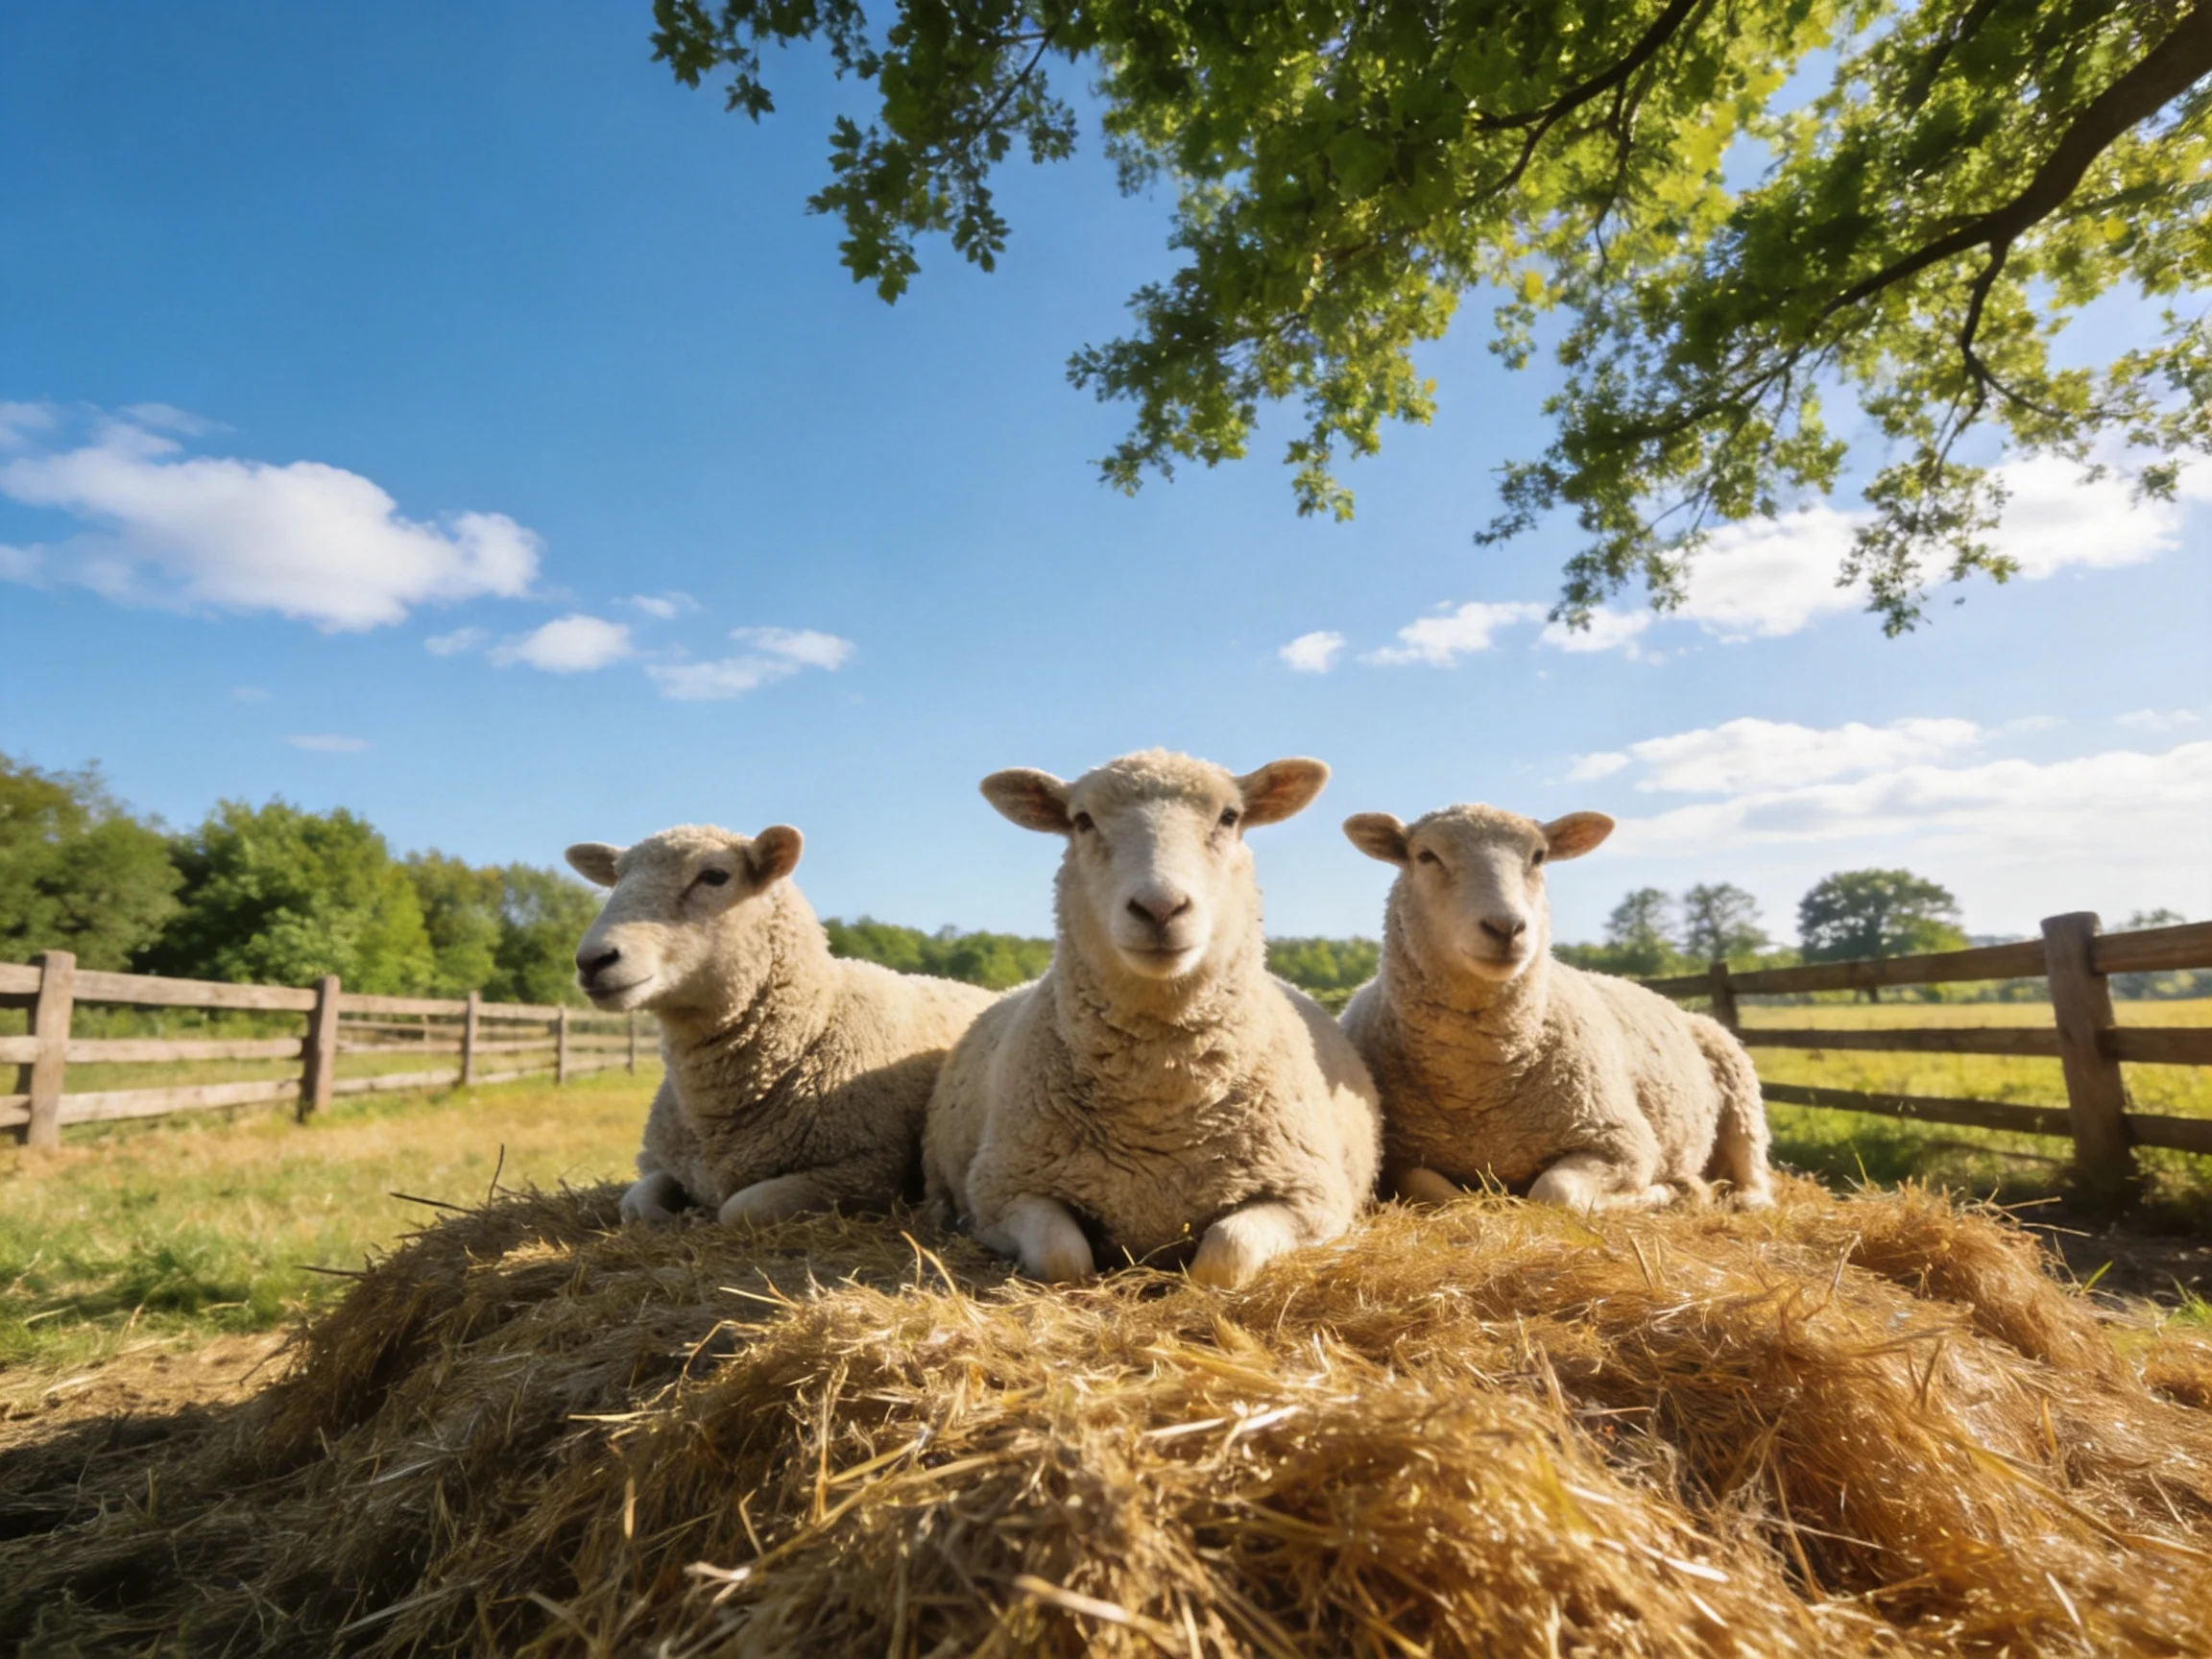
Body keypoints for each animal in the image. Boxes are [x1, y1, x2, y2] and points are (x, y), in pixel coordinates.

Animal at [566, 824, 998, 1227]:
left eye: (715, 875)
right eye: (617, 878)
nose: (591, 960)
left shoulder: (861, 1174)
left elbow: (740, 1209)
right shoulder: (660, 1161)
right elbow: (637, 1206)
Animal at [923, 750, 1383, 1290]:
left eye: (1230, 817)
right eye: (1082, 820)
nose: (1160, 907)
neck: (1159, 1100)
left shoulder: (1310, 1195)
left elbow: (1225, 1254)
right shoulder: (1001, 1191)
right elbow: (1064, 1257)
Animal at [1338, 803, 1773, 1213]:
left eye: (1539, 856)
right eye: (1426, 855)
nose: (1507, 928)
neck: (1479, 1090)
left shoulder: (1622, 1141)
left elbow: (1555, 1190)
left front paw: (1663, 1192)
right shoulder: (1400, 1159)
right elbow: (1444, 1196)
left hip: (1740, 1091)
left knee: (1753, 1161)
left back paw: (1744, 1198)